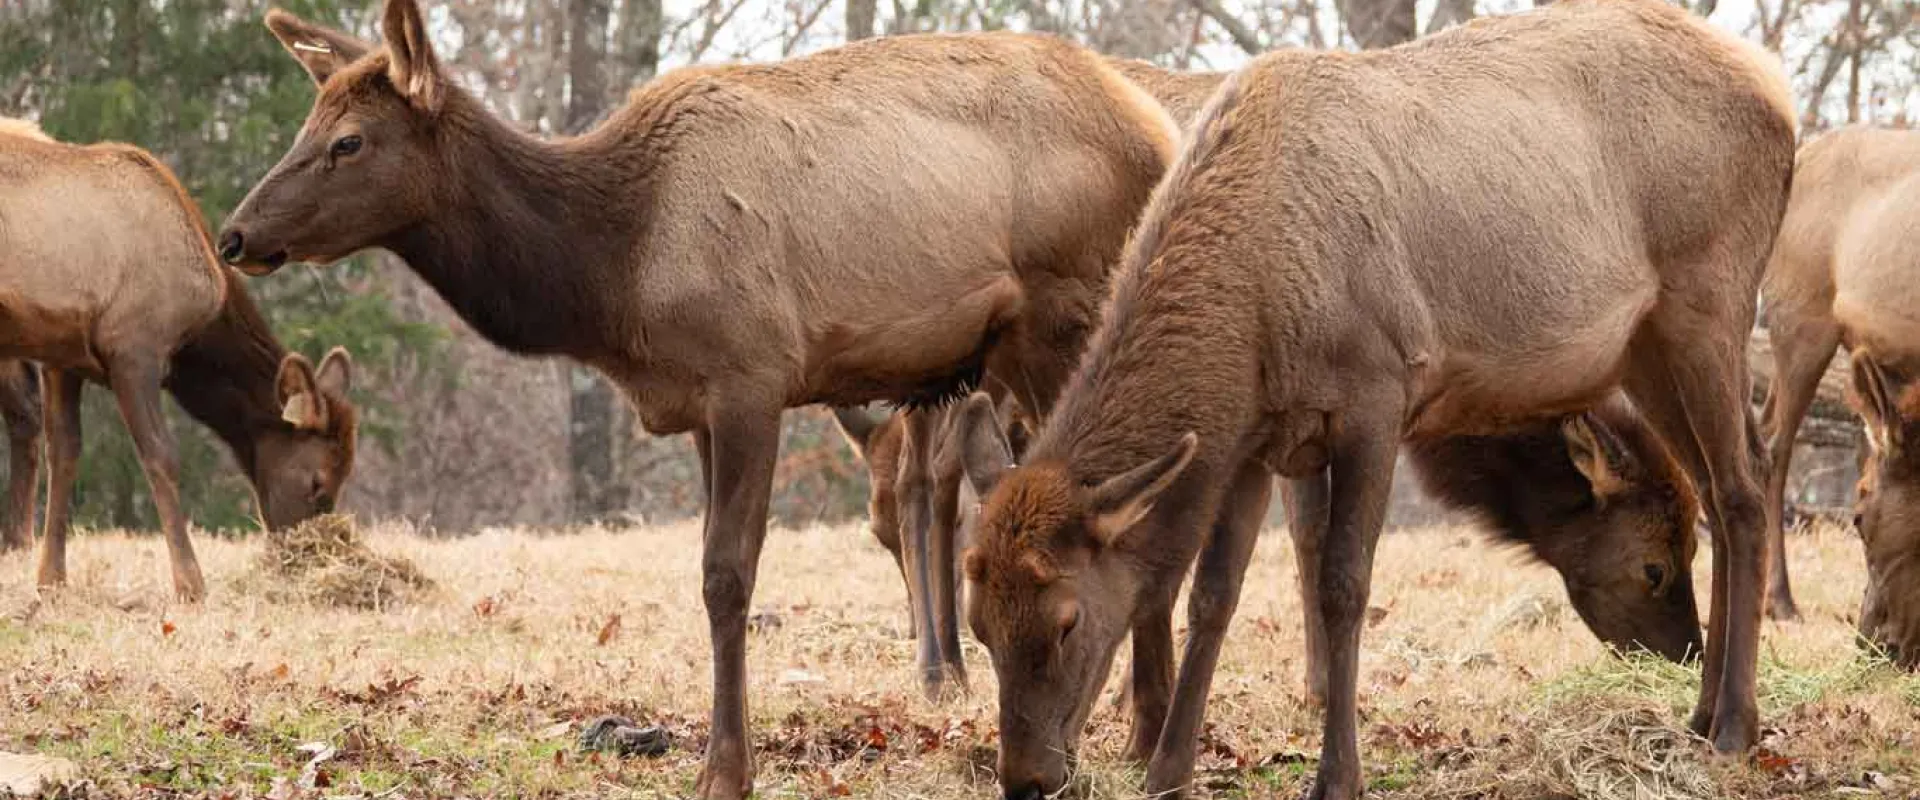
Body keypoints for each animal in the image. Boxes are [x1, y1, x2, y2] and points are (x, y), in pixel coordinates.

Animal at [0, 118, 359, 601]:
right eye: (318, 482)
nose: (308, 557)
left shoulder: (63, 356)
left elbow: (66, 453)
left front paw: (51, 580)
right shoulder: (134, 346)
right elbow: (161, 456)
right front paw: (191, 584)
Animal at [217, 3, 1184, 796]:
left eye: (348, 141)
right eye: (309, 121)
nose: (234, 234)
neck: (614, 274)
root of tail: (1162, 131)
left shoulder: (750, 374)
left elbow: (728, 576)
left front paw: (727, 770)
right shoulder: (692, 401)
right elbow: (710, 575)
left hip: (1068, 313)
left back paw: (1140, 735)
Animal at [953, 1, 1795, 797]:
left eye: (1066, 622)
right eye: (980, 624)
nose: (1026, 777)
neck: (1254, 319)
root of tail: (1780, 94)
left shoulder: (1377, 392)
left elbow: (1344, 585)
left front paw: (1336, 775)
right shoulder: (1256, 436)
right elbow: (1213, 596)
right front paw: (1169, 774)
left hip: (1709, 294)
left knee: (1744, 487)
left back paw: (1734, 725)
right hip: (1646, 345)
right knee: (1712, 487)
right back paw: (1701, 712)